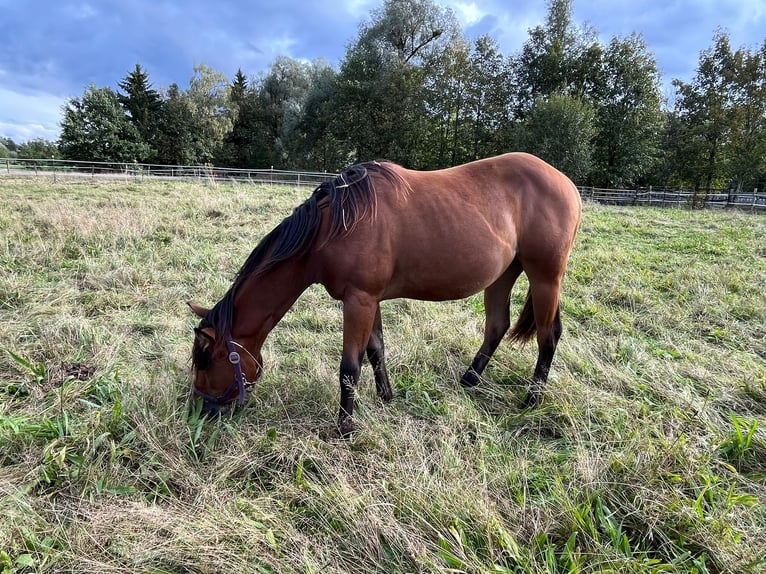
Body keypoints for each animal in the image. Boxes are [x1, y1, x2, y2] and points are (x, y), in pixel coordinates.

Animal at [188, 153, 584, 436]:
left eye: (206, 359)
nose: (200, 411)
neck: (335, 226)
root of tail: (567, 184)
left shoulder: (359, 300)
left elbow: (350, 366)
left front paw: (346, 427)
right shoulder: (370, 300)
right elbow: (376, 349)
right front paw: (386, 396)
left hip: (545, 277)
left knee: (548, 337)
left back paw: (532, 399)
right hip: (503, 275)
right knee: (497, 326)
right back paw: (470, 380)